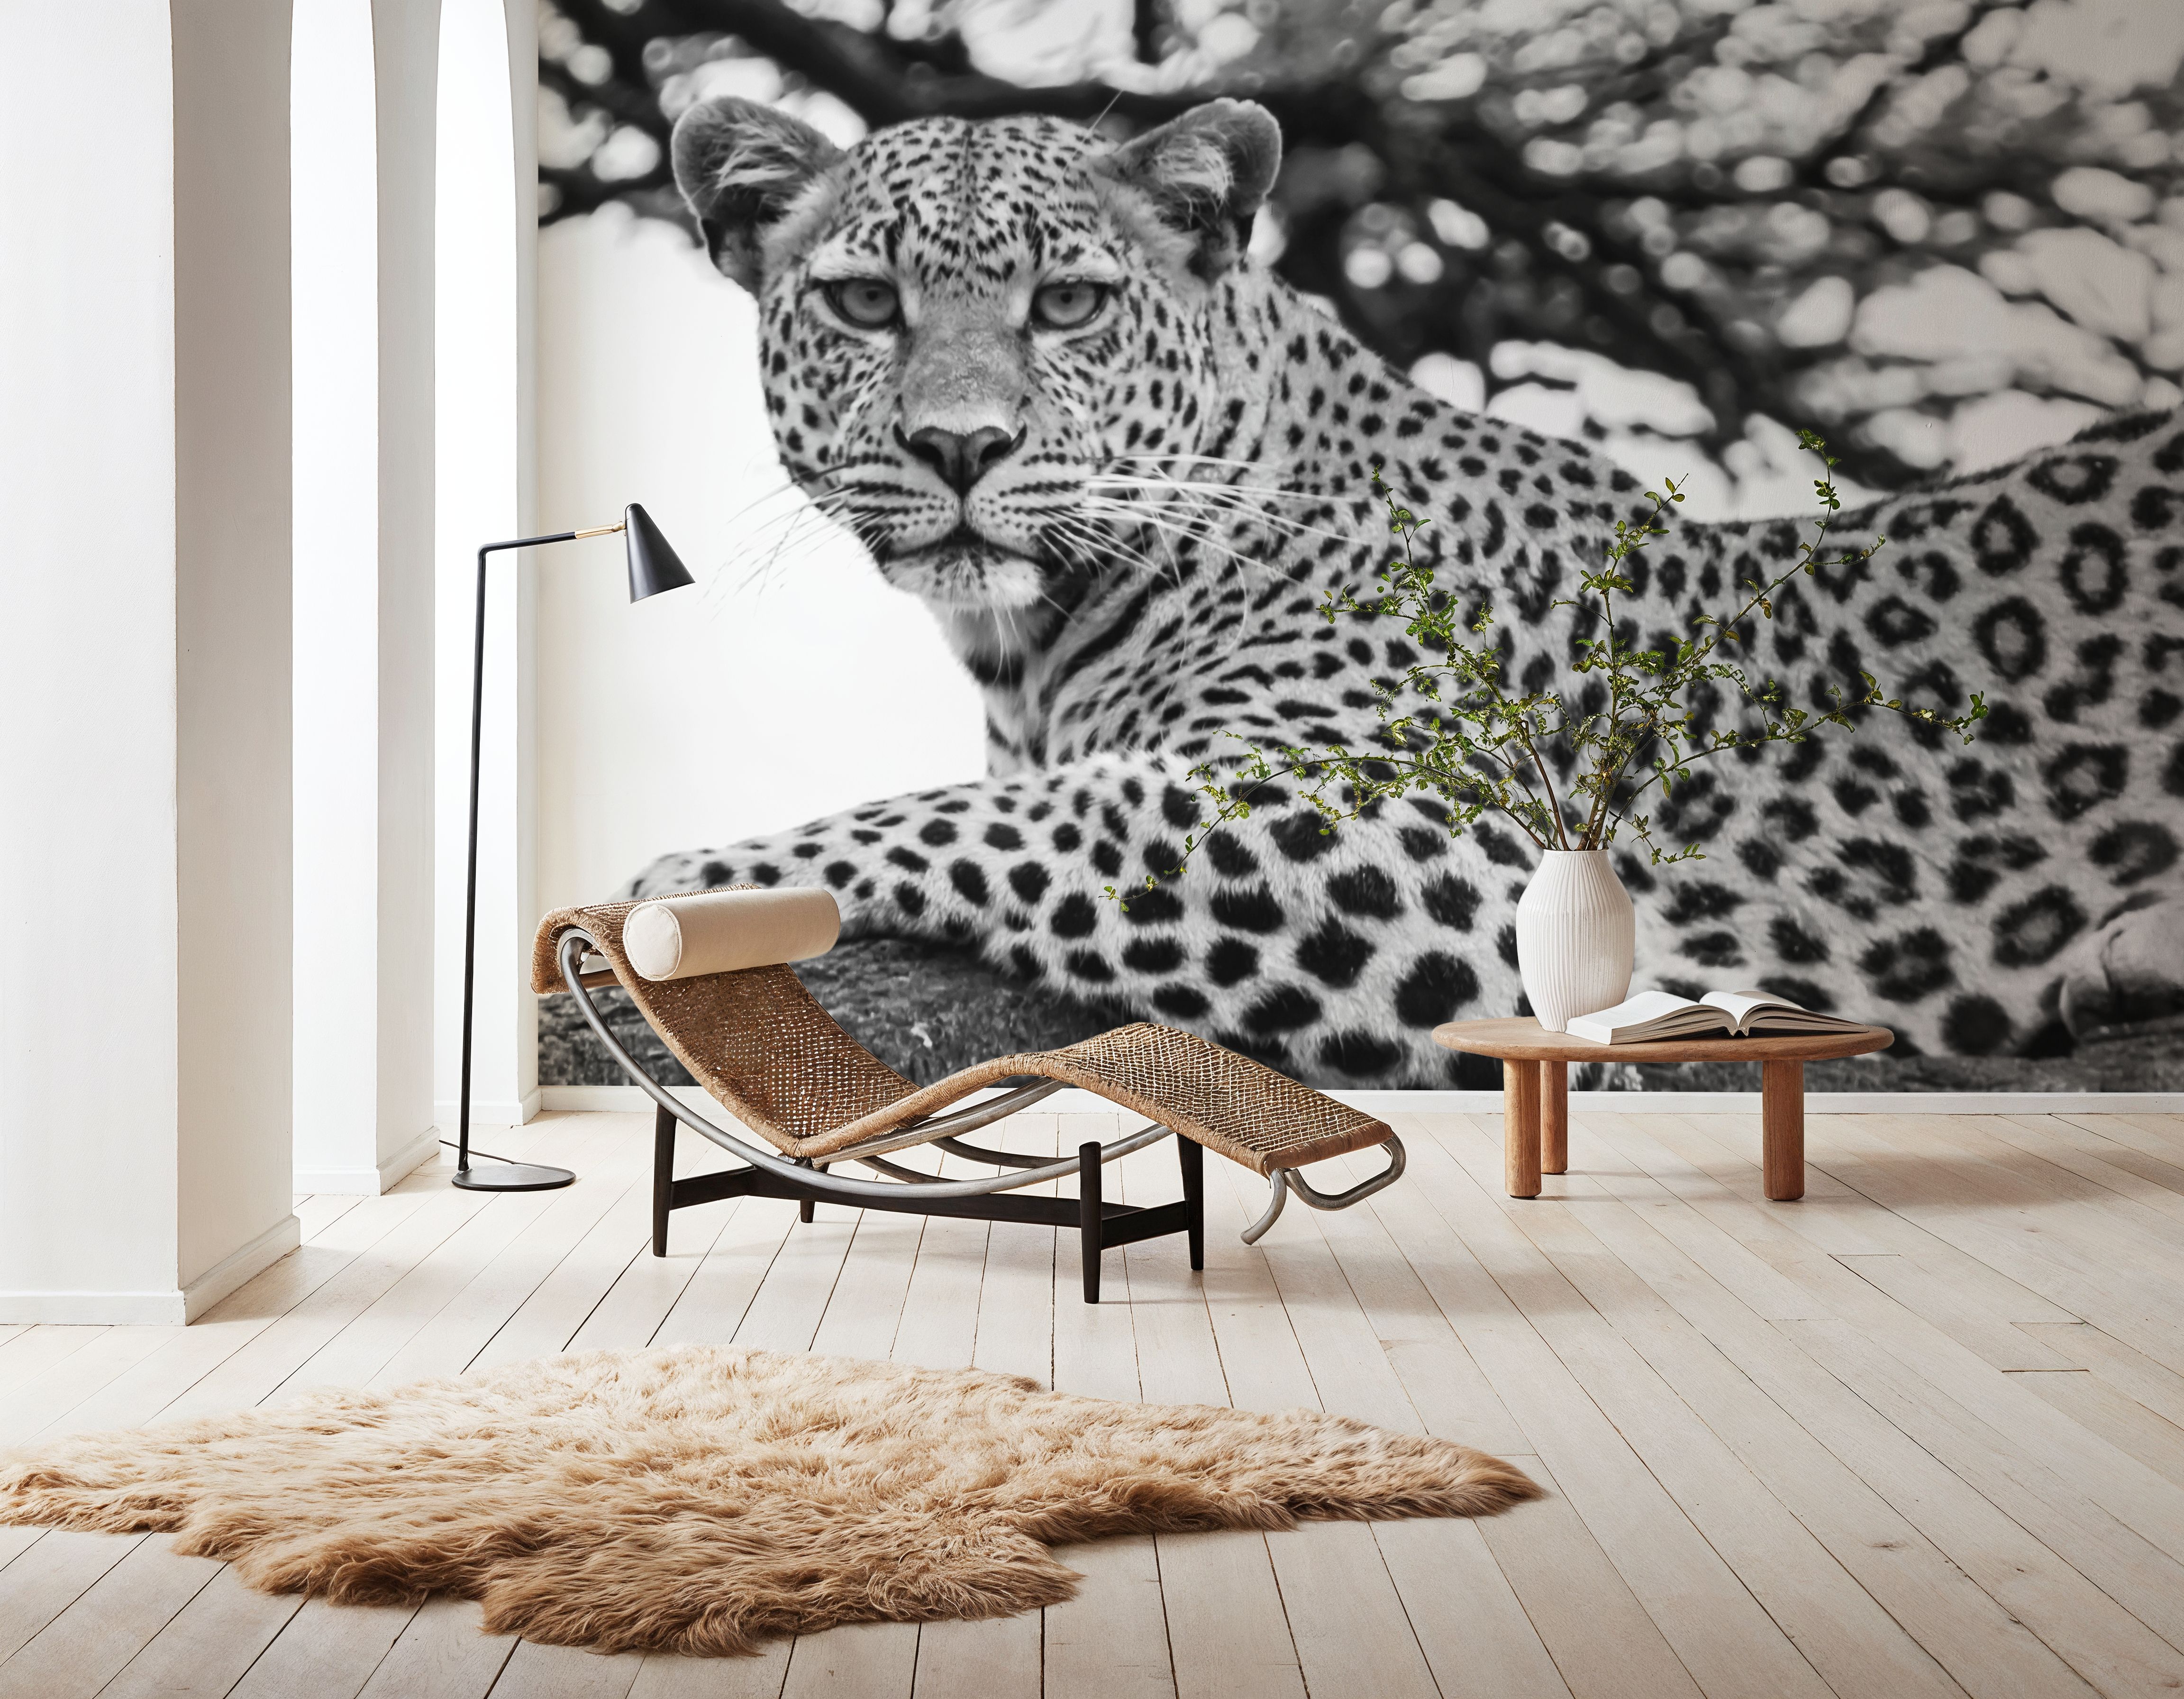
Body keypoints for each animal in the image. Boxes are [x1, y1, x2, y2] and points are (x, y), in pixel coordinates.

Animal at [627, 92, 2184, 1089]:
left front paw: (691, 879)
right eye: (863, 303)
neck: (1029, 642)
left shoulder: (1432, 834)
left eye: (1067, 305)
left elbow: (995, 815)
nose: (961, 448)